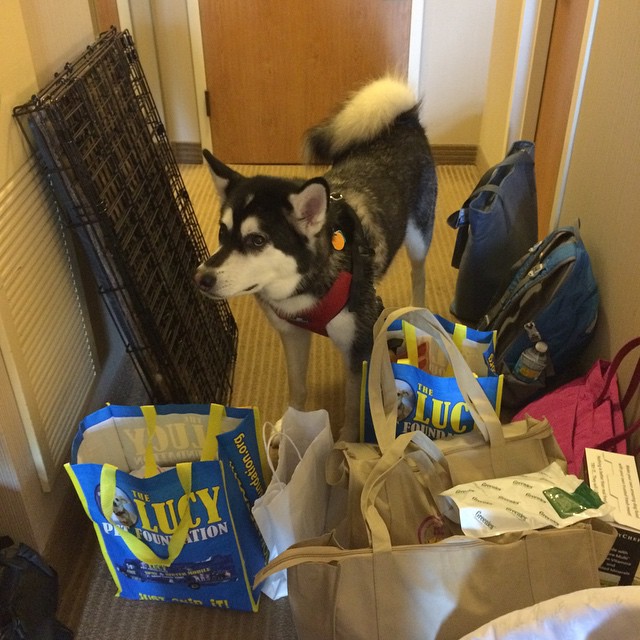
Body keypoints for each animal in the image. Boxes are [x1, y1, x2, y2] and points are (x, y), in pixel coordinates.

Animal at [194, 76, 436, 440]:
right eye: (223, 234)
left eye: (256, 240)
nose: (201, 278)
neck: (304, 288)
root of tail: (404, 119)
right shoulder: (292, 334)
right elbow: (297, 386)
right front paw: (289, 425)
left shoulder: (358, 348)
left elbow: (353, 405)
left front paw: (346, 446)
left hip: (418, 237)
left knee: (418, 274)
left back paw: (417, 314)